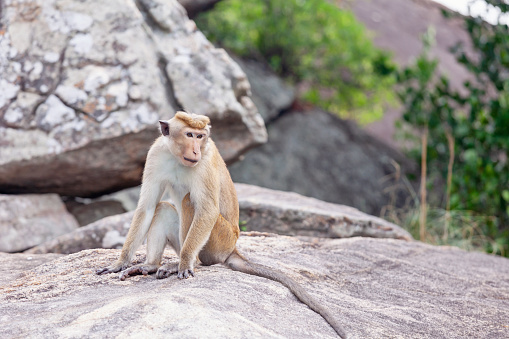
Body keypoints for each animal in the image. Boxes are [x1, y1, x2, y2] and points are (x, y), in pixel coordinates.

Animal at [96, 112, 346, 339]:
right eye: (189, 135)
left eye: (200, 136)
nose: (196, 150)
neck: (177, 157)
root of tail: (232, 248)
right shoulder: (156, 153)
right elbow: (147, 207)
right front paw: (120, 262)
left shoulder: (205, 163)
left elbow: (207, 210)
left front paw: (184, 263)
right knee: (164, 208)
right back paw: (150, 265)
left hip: (219, 240)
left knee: (189, 202)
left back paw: (185, 262)